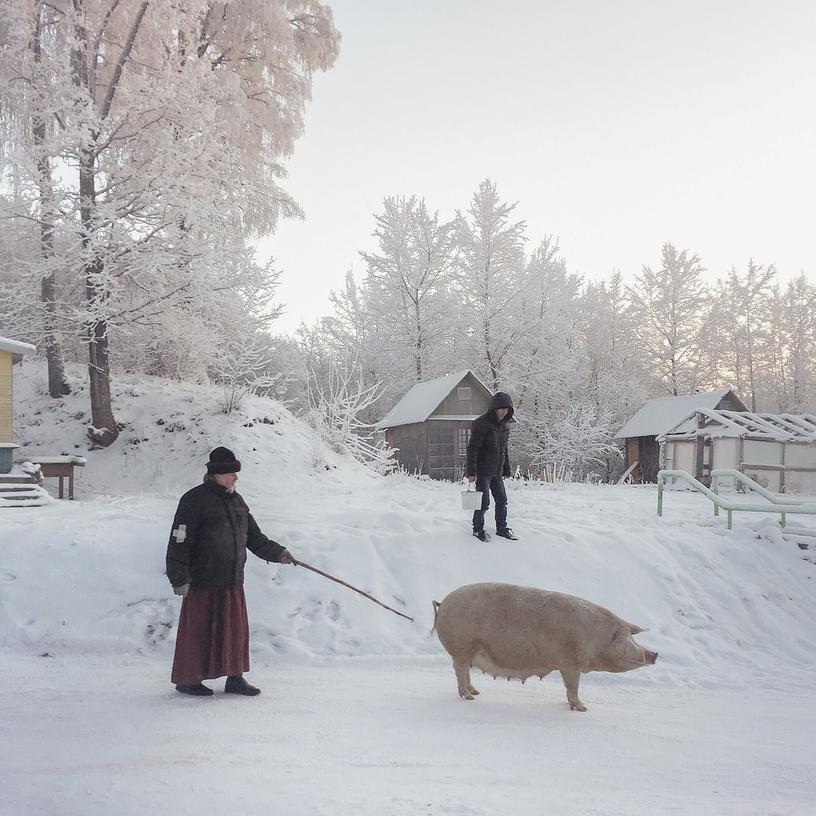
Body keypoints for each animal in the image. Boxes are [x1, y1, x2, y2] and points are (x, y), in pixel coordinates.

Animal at [434, 584, 656, 712]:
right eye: (626, 638)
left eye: (632, 635)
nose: (654, 654)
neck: (597, 638)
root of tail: (443, 602)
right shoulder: (570, 664)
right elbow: (572, 687)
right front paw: (583, 708)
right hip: (461, 647)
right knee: (460, 671)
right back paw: (469, 697)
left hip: (466, 651)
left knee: (465, 672)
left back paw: (476, 692)